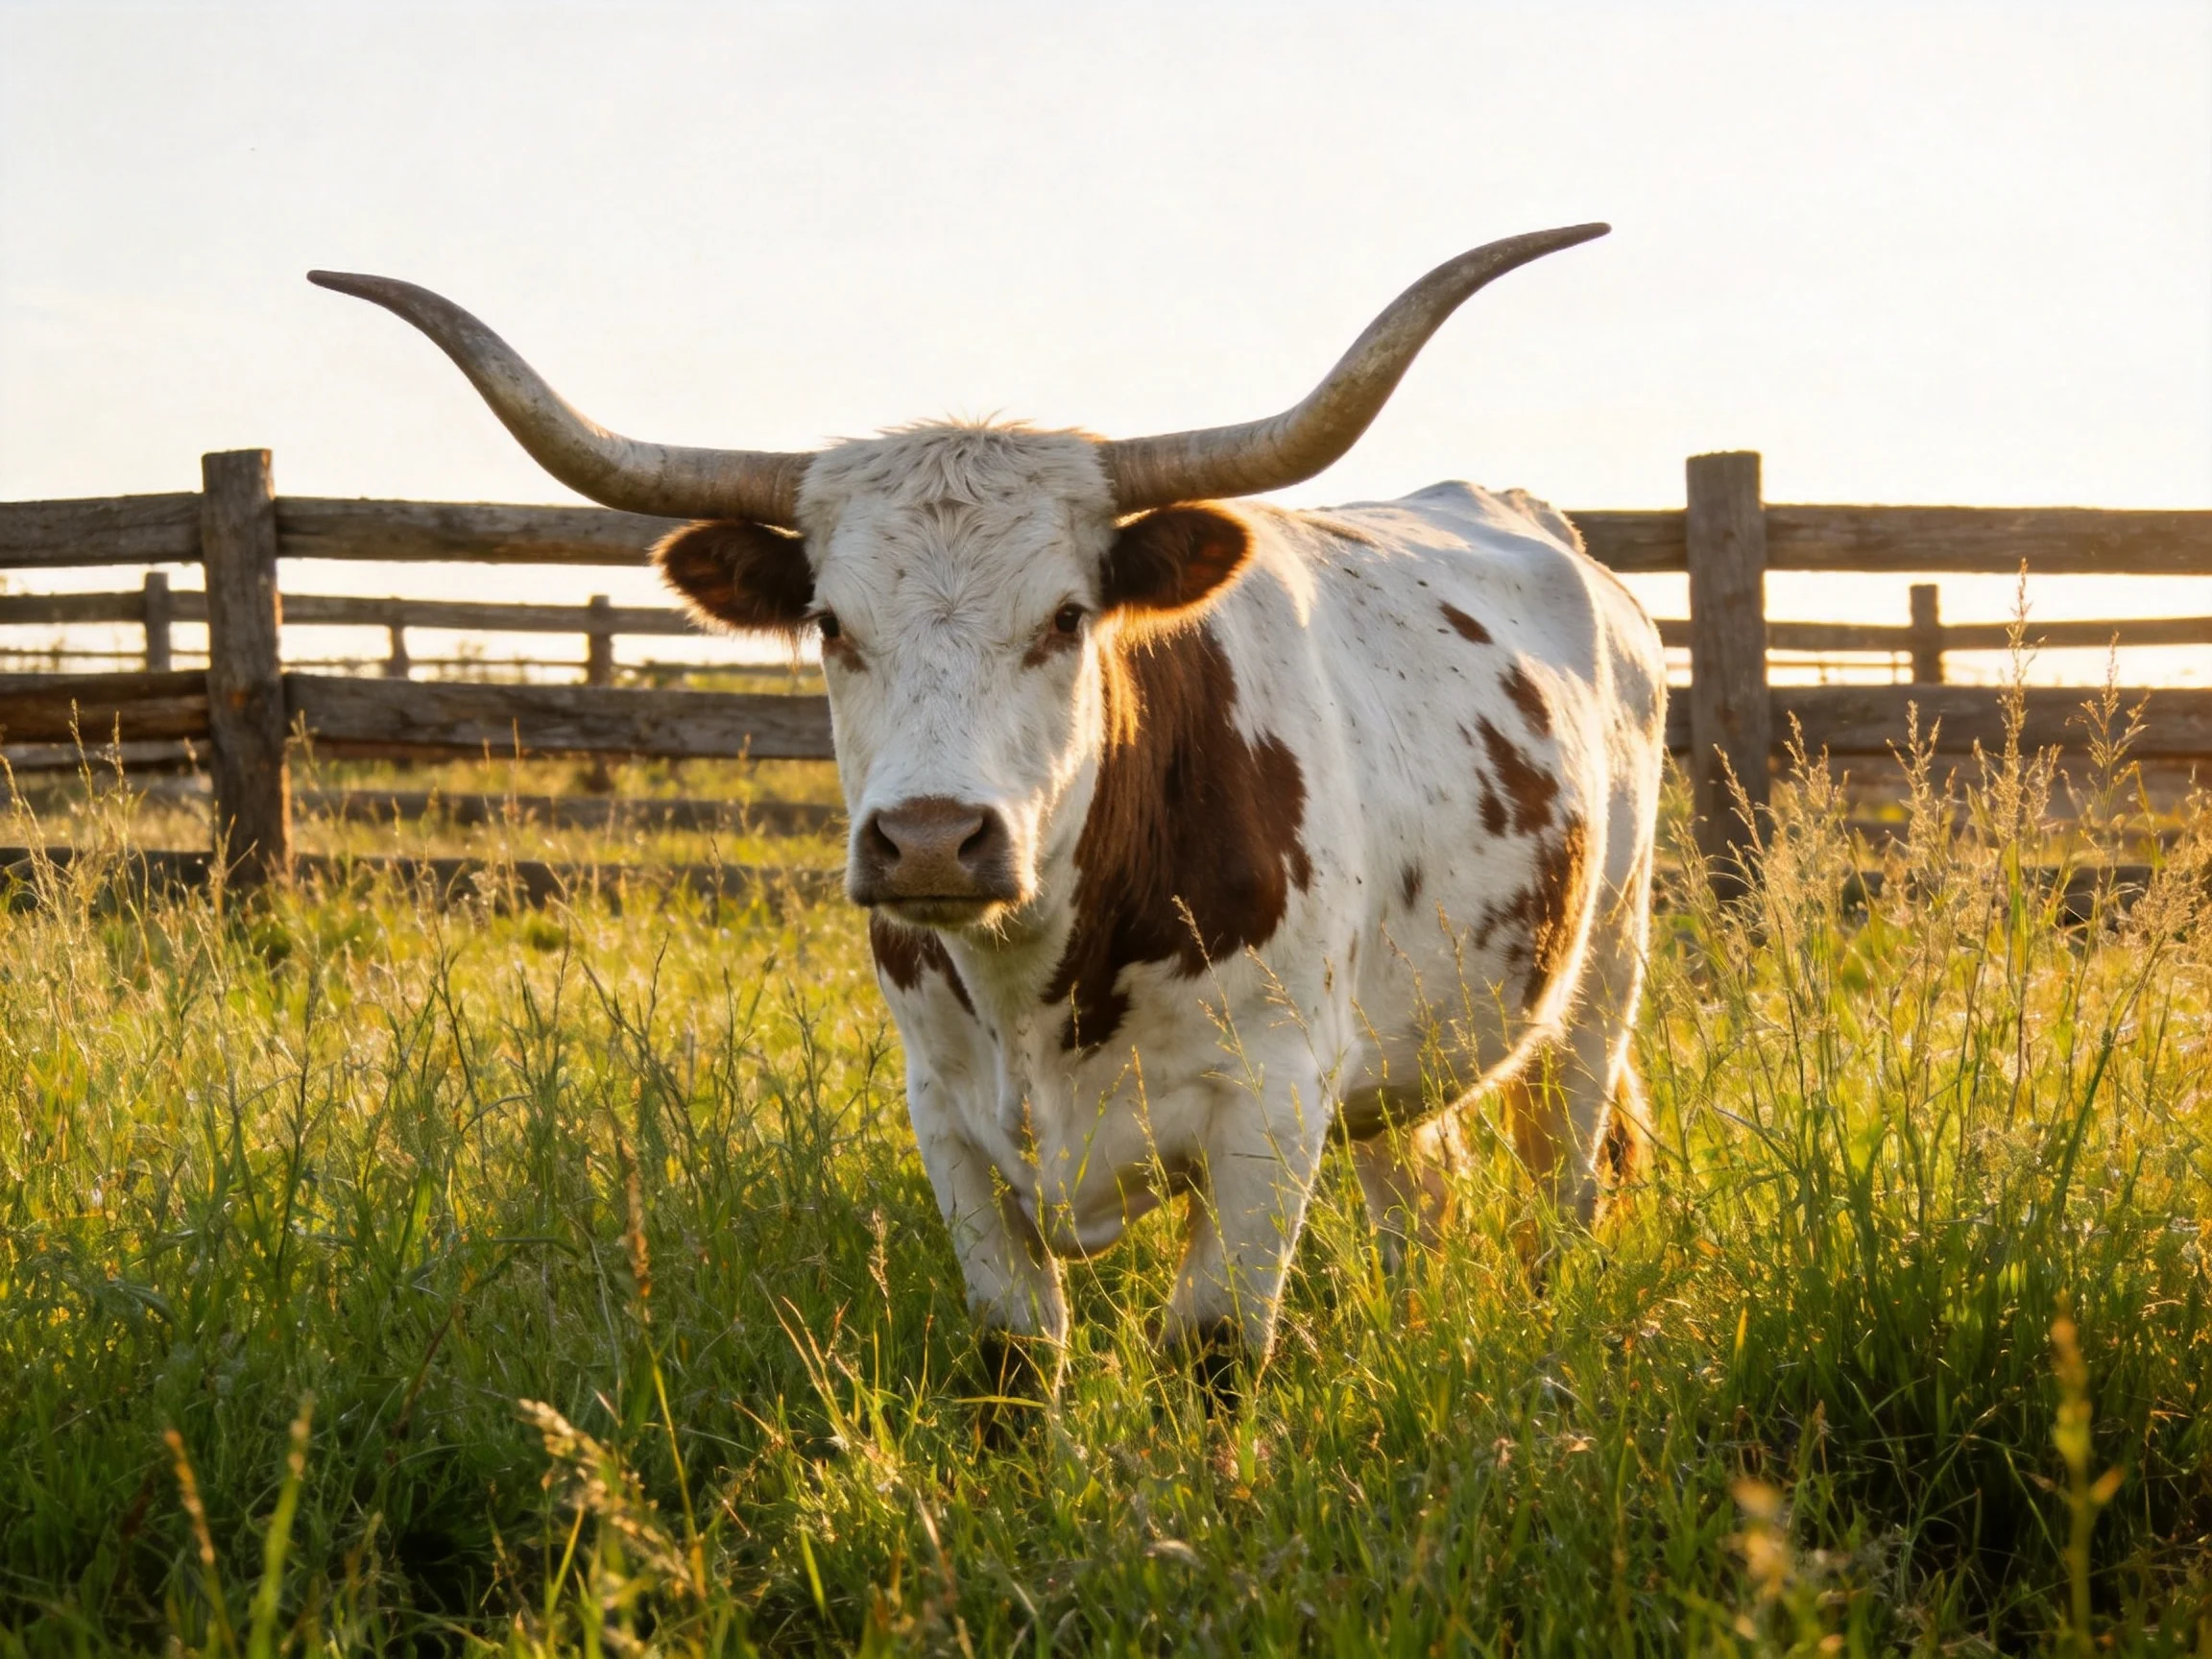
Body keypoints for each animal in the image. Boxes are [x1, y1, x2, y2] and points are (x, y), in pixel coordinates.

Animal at [310, 224, 1667, 1406]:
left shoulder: (1272, 1111)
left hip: (1599, 981)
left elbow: (1214, 1358)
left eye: (1067, 616)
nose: (929, 840)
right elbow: (1016, 1364)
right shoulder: (947, 1121)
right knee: (1417, 1195)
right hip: (1404, 1047)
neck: (1034, 984)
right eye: (830, 623)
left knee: (1562, 1195)